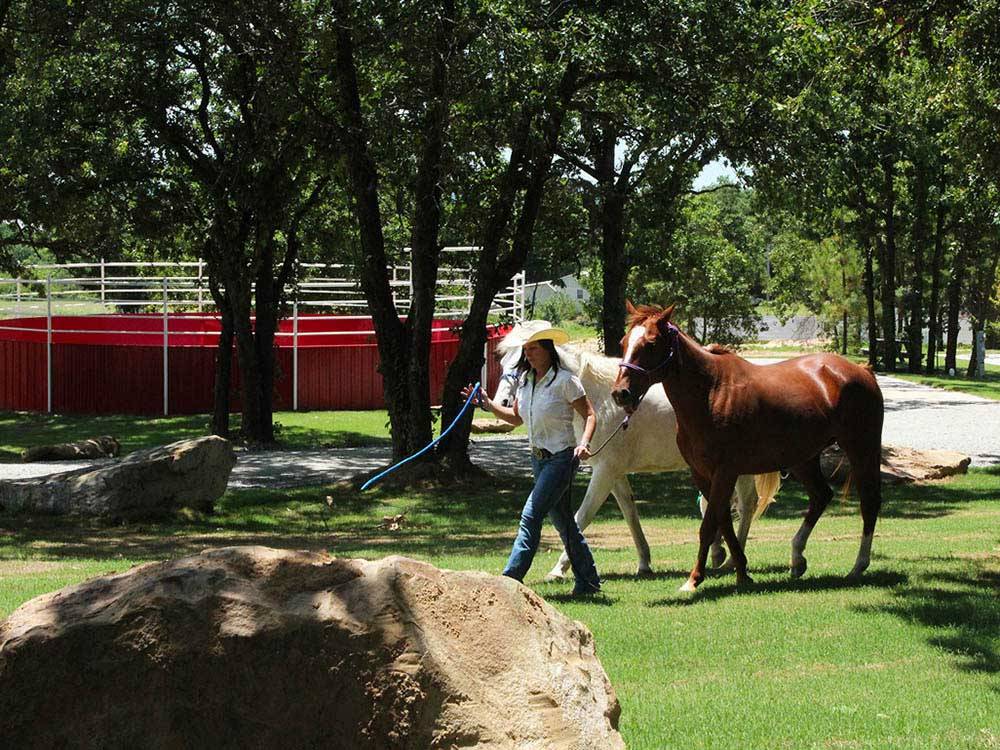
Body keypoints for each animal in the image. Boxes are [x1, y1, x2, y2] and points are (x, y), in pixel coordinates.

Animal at [492, 336, 780, 580]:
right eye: (503, 364)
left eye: (522, 365)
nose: (503, 402)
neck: (601, 400)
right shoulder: (615, 473)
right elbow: (630, 513)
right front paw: (644, 562)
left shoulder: (605, 472)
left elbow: (582, 516)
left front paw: (558, 569)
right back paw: (721, 554)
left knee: (746, 504)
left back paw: (732, 559)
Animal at [608, 302, 884, 592]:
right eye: (624, 342)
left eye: (650, 344)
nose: (620, 393)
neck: (712, 392)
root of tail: (861, 371)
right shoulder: (702, 473)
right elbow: (724, 522)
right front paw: (741, 570)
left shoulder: (725, 472)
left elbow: (709, 525)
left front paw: (694, 579)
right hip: (802, 459)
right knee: (821, 496)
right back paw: (797, 558)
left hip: (862, 448)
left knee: (869, 502)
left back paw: (858, 566)